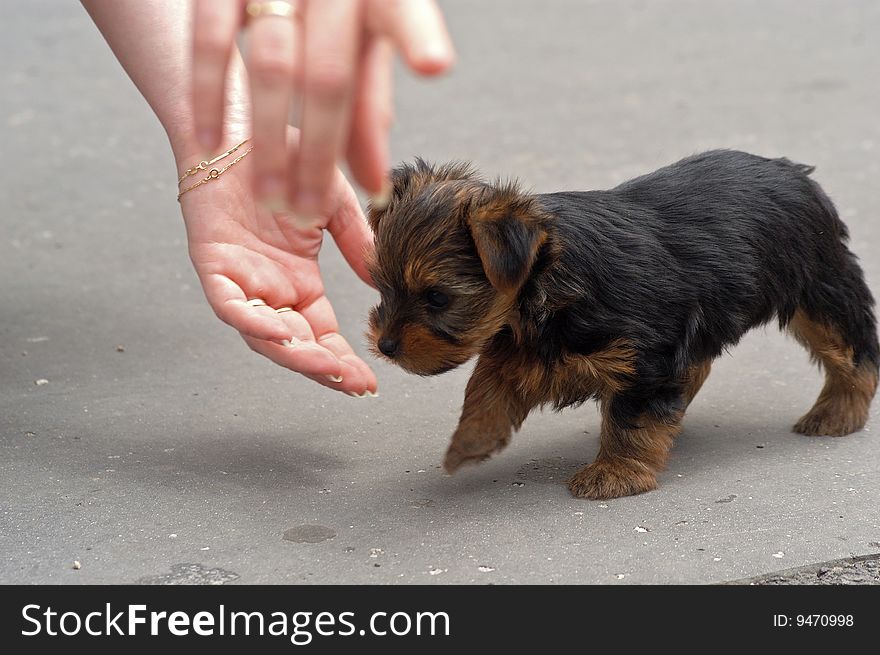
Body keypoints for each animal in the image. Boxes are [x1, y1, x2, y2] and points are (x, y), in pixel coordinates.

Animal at [362, 151, 872, 500]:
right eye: (382, 287)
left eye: (438, 298)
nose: (385, 345)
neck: (547, 283)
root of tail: (791, 171)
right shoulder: (520, 347)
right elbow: (485, 387)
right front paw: (469, 443)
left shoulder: (645, 357)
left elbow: (631, 417)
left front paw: (616, 474)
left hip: (819, 285)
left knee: (854, 349)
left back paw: (837, 413)